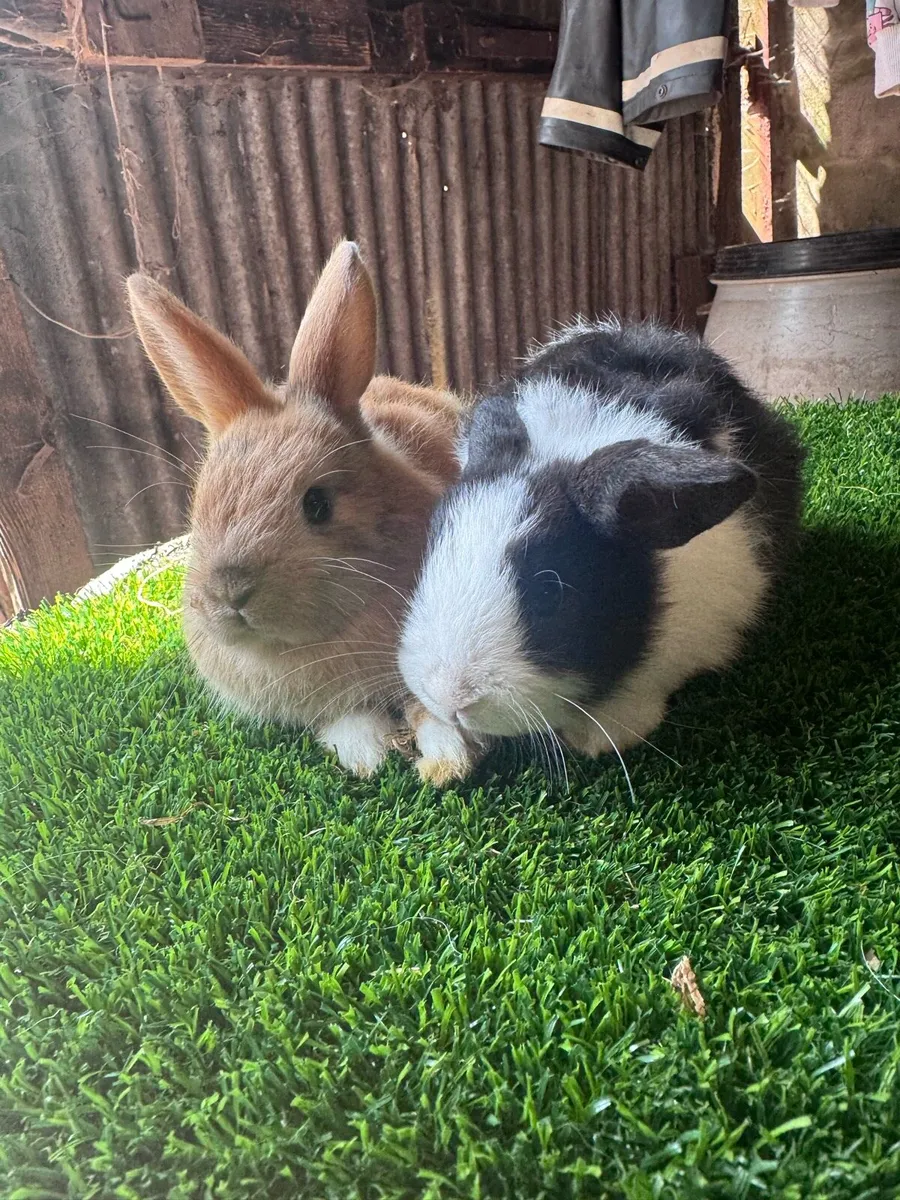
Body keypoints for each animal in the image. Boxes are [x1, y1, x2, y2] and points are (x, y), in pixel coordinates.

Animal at [127, 240, 465, 776]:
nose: (231, 594)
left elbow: (432, 712)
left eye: (317, 504)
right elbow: (345, 722)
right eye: (199, 509)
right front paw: (368, 755)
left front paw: (447, 762)